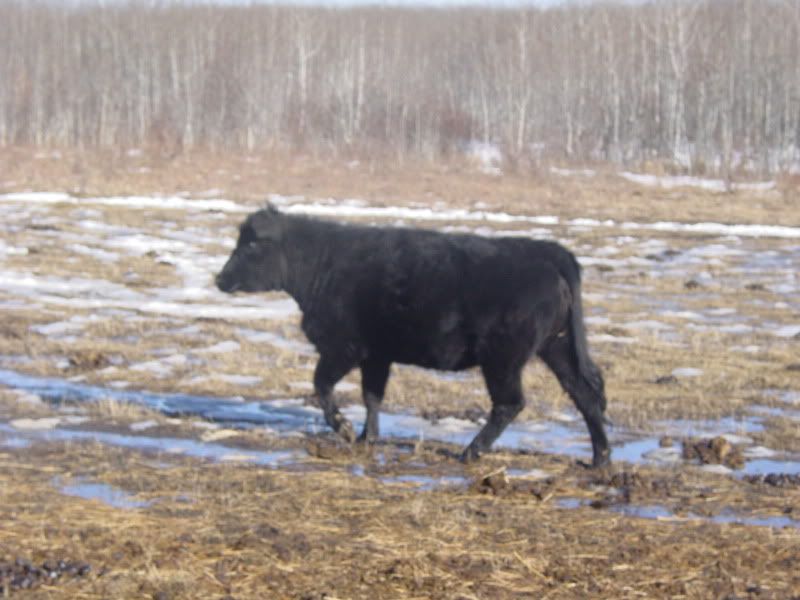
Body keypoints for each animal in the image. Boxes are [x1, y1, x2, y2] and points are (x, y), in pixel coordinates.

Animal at [216, 206, 610, 467]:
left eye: (251, 245)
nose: (220, 279)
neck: (322, 266)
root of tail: (544, 250)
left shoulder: (344, 347)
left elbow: (321, 385)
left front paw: (344, 428)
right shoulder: (377, 354)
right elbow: (372, 395)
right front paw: (368, 437)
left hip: (503, 358)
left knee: (510, 403)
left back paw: (471, 452)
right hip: (557, 347)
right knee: (585, 394)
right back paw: (601, 459)